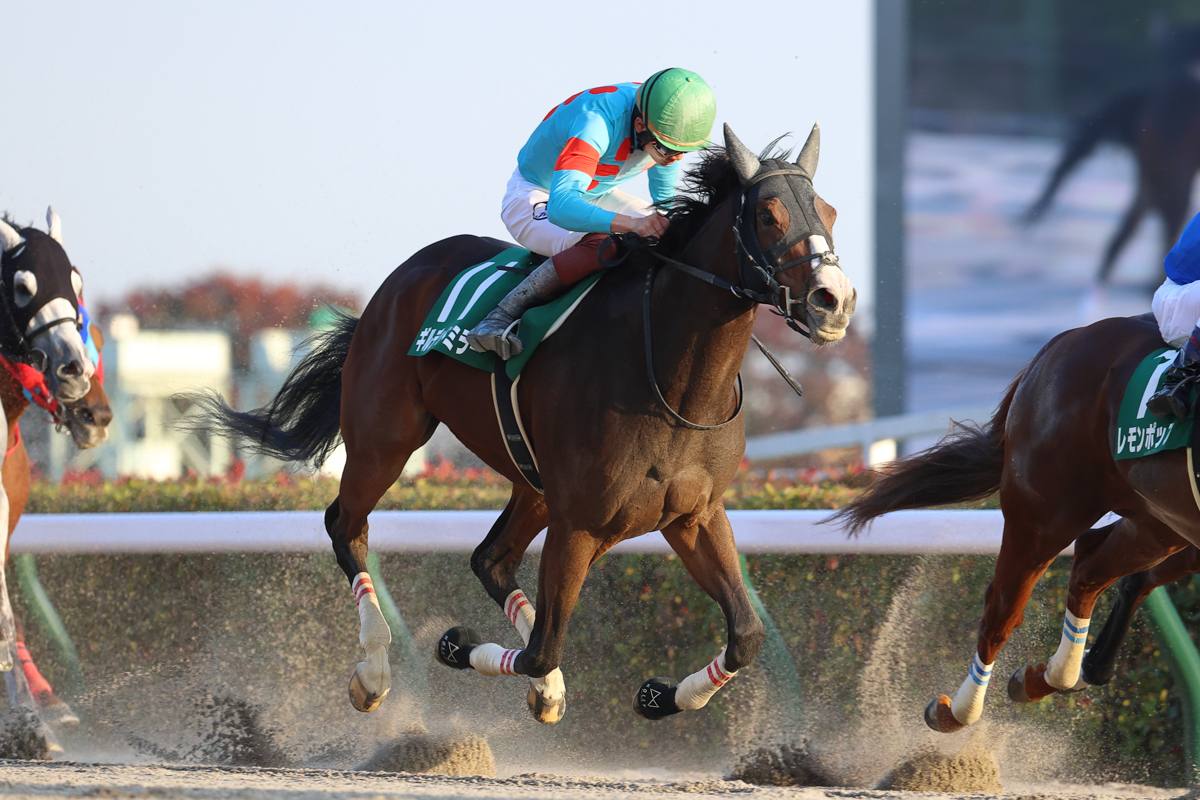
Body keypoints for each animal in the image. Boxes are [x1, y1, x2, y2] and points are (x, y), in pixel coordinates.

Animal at [192, 125, 859, 724]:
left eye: (828, 210)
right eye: (768, 215)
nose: (834, 299)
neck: (672, 381)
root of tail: (393, 285)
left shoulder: (693, 515)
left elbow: (745, 633)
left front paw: (658, 696)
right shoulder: (580, 524)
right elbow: (541, 649)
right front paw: (454, 644)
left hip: (531, 482)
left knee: (490, 558)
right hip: (386, 439)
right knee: (346, 526)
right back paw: (375, 670)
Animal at [835, 309, 1200, 734]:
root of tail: (1068, 339)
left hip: (1160, 521)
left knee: (1092, 569)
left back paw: (1052, 676)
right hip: (1044, 513)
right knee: (1004, 610)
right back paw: (957, 711)